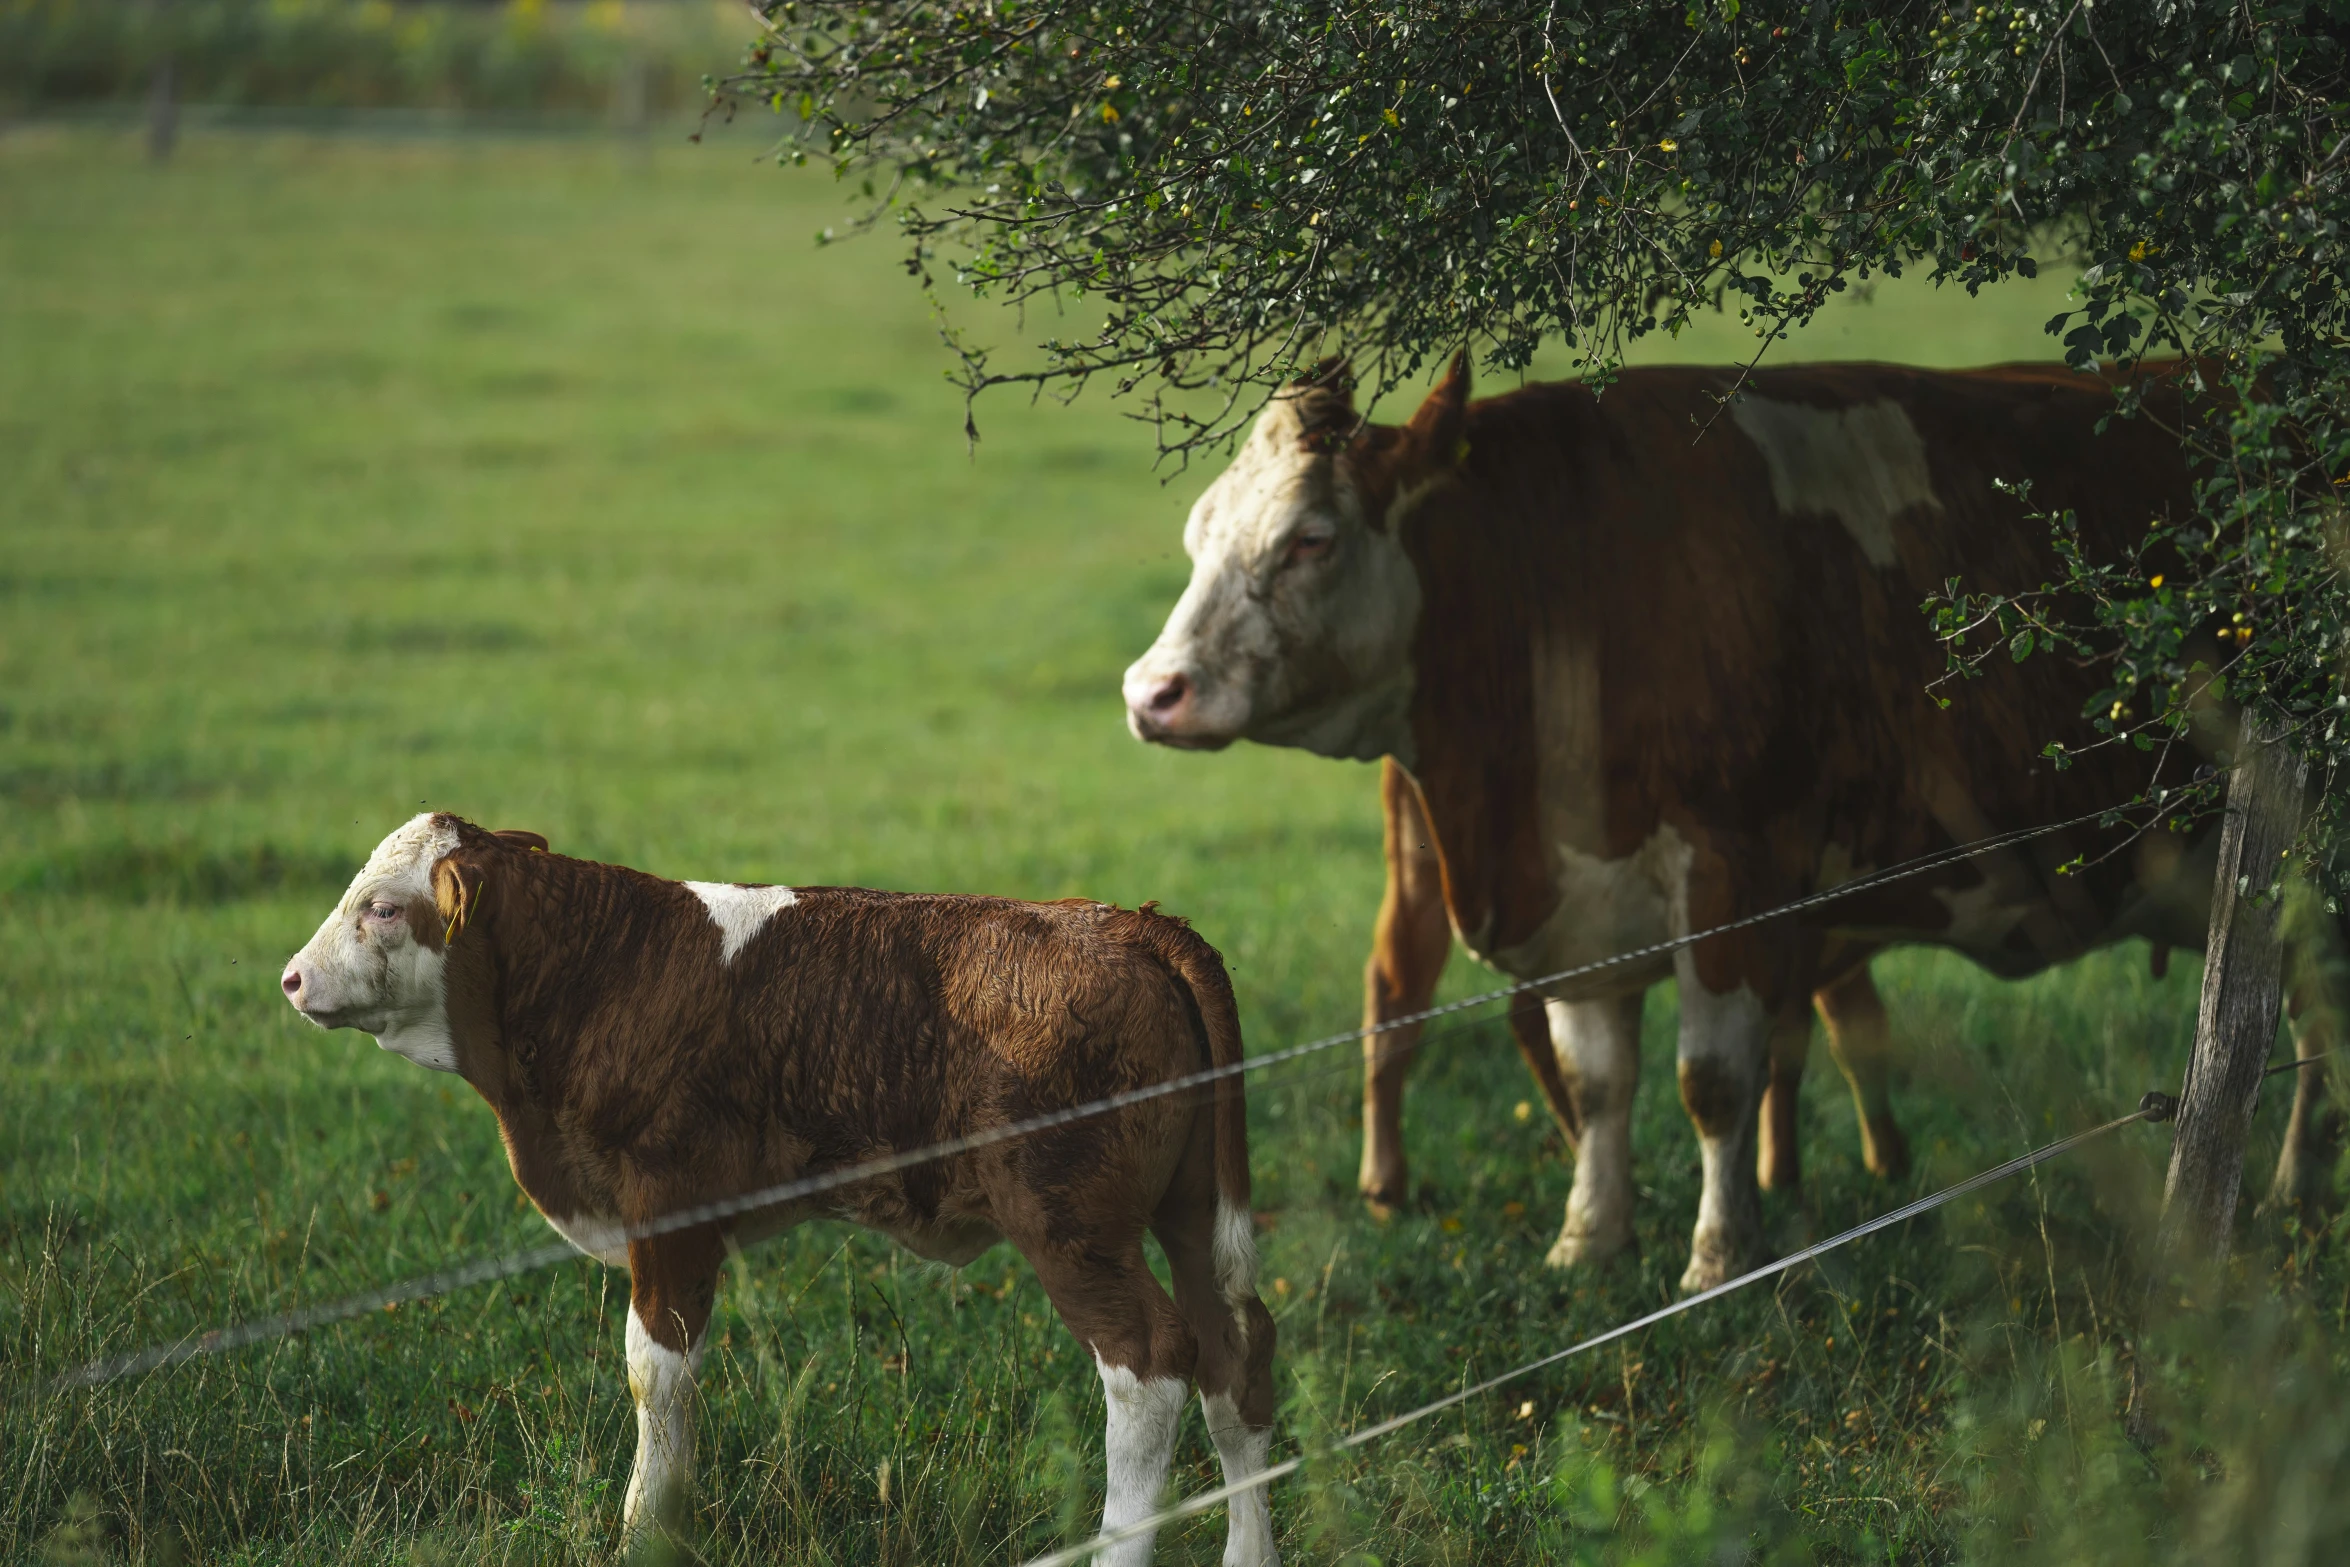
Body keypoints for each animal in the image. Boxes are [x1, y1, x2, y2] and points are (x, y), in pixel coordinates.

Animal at [289, 817, 1287, 1559]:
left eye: (383, 907)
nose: (293, 977)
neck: (601, 972)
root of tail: (1127, 922)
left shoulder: (669, 1207)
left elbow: (656, 1370)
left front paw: (646, 1534)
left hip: (1072, 1223)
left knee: (1152, 1361)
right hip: (1190, 1209)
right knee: (1233, 1352)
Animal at [1123, 361, 2331, 1296]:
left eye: (1311, 539)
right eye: (1194, 536)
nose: (1152, 691)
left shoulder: (1732, 874)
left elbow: (1711, 1081)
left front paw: (1717, 1258)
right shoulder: (1583, 902)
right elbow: (1599, 1079)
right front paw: (1587, 1241)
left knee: (2313, 1022)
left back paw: (2293, 1191)